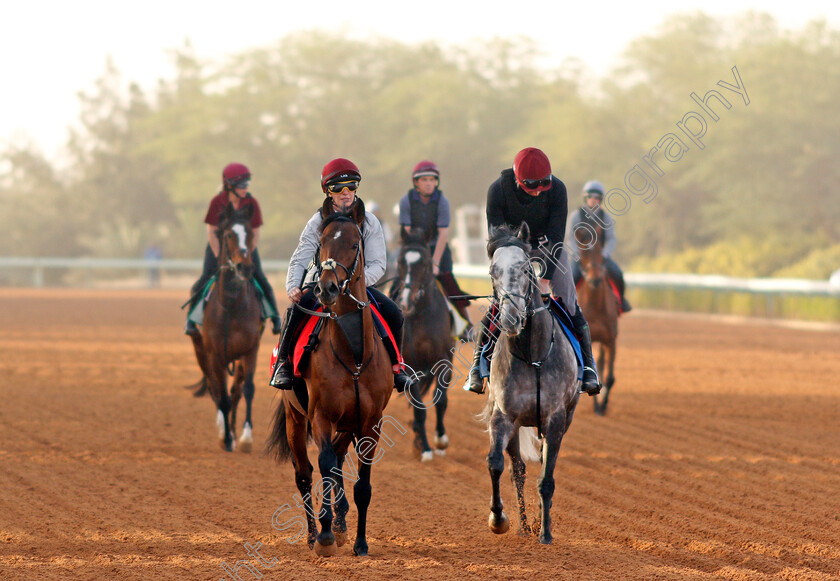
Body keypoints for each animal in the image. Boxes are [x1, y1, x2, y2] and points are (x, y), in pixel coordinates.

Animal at [189, 204, 262, 454]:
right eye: (229, 234)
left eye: (249, 234)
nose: (244, 267)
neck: (231, 306)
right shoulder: (215, 355)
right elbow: (221, 395)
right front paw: (227, 437)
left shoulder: (250, 351)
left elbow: (247, 389)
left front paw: (246, 438)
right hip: (202, 352)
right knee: (214, 388)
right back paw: (223, 430)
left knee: (235, 391)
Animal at [264, 202, 392, 556]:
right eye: (321, 244)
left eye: (354, 243)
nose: (326, 288)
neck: (354, 356)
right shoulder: (320, 414)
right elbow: (322, 463)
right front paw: (323, 535)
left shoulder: (370, 422)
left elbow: (361, 483)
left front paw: (359, 541)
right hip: (295, 418)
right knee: (305, 473)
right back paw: (313, 534)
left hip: (348, 424)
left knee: (336, 460)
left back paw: (341, 522)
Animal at [394, 229, 452, 460]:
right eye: (401, 262)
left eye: (426, 264)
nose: (405, 302)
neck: (422, 317)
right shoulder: (411, 368)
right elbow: (419, 409)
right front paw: (426, 449)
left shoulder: (445, 360)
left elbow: (441, 400)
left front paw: (441, 440)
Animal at [482, 221, 580, 544]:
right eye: (493, 271)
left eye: (526, 269)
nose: (510, 319)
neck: (532, 355)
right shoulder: (504, 416)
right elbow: (497, 464)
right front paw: (498, 519)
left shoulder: (555, 418)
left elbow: (547, 478)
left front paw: (545, 532)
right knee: (519, 469)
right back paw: (525, 527)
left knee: (542, 464)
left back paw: (537, 524)